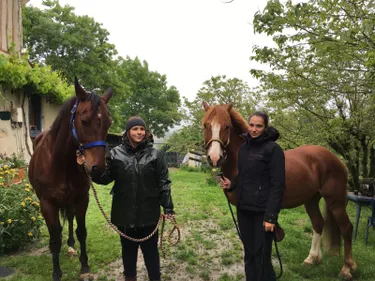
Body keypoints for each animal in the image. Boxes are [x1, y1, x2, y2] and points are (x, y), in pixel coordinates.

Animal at [29, 78, 113, 280]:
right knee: (57, 231)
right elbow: (54, 238)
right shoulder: (47, 204)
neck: (59, 162)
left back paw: (71, 244)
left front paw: (84, 266)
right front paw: (56, 272)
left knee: (70, 219)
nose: (98, 169)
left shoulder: (82, 199)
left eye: (108, 124)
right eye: (84, 121)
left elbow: (81, 231)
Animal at [203, 101, 358, 278]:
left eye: (227, 126)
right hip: (311, 200)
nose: (215, 158)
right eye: (206, 125)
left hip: (335, 201)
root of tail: (337, 160)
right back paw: (312, 258)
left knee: (346, 228)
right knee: (318, 223)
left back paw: (347, 268)